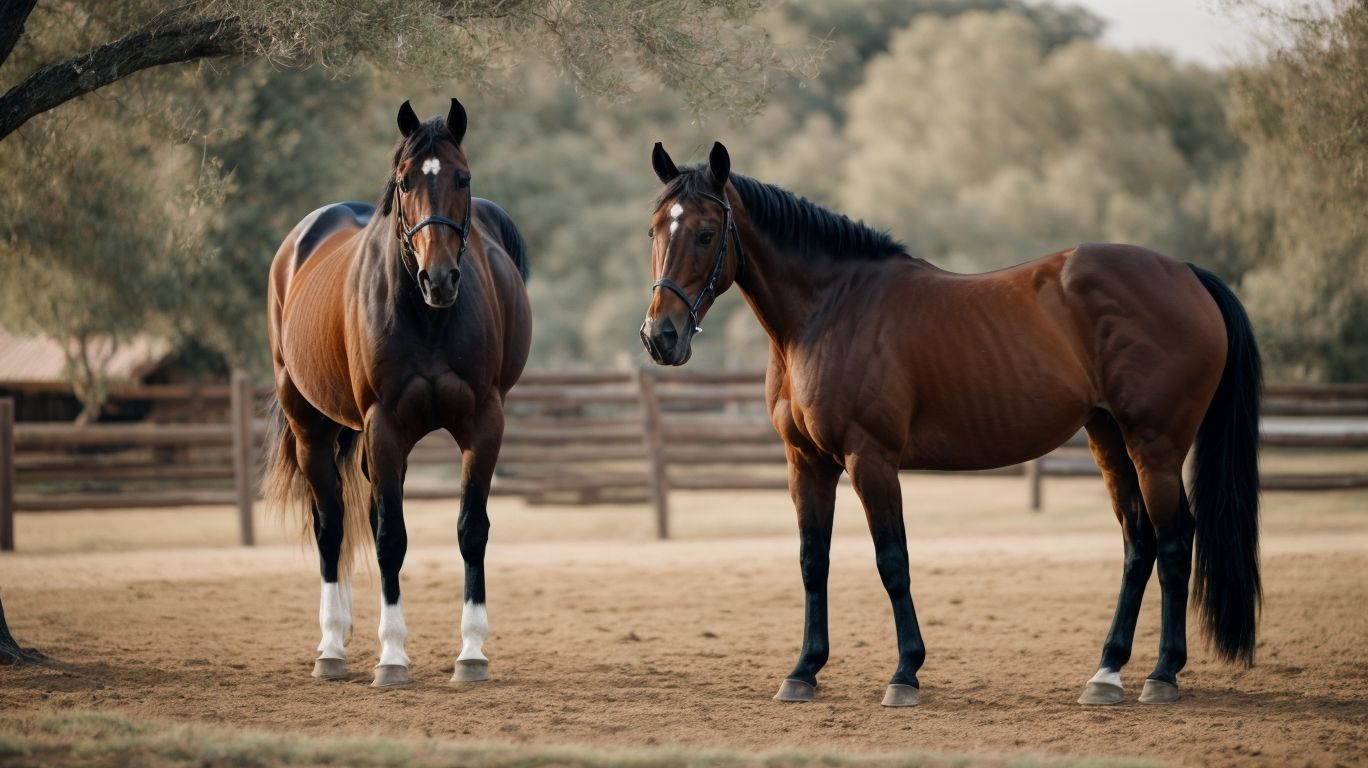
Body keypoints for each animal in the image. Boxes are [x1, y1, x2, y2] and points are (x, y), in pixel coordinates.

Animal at [263, 99, 531, 688]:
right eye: (405, 181)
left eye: (463, 177)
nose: (440, 279)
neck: (426, 319)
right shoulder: (384, 426)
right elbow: (390, 539)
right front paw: (391, 657)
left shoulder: (483, 424)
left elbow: (471, 530)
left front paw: (471, 652)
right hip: (311, 428)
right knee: (331, 526)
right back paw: (331, 646)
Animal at [640, 141, 1261, 708]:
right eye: (654, 232)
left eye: (705, 233)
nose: (660, 337)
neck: (830, 310)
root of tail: (1185, 273)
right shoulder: (806, 463)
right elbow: (813, 562)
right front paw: (803, 672)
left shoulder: (871, 460)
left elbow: (893, 562)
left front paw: (904, 674)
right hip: (1109, 438)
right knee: (1139, 544)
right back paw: (1106, 674)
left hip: (1154, 445)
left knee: (1175, 542)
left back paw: (1162, 674)